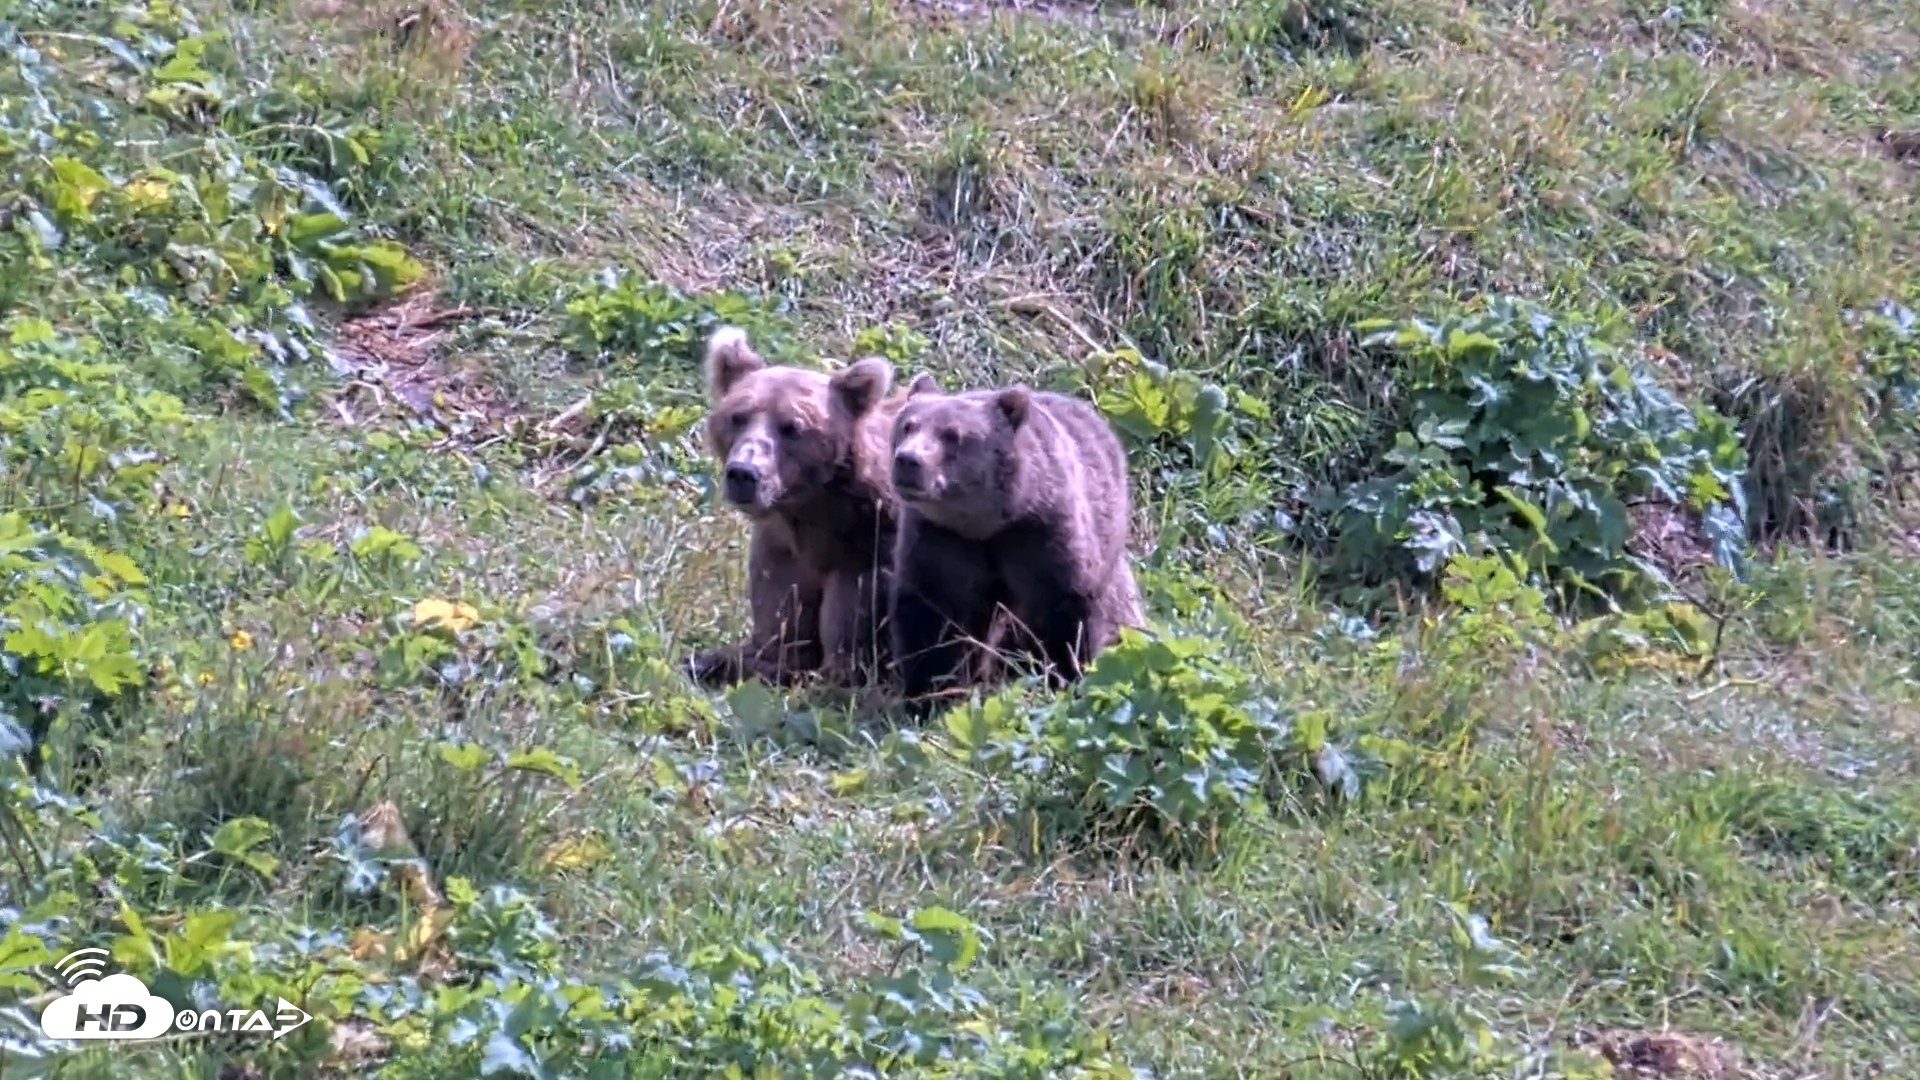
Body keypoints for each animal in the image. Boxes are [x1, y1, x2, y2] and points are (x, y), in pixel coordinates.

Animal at [685, 325, 934, 691]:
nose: (743, 473)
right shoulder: (781, 554)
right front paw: (711, 660)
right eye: (737, 417)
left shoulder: (868, 555)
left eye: (791, 427)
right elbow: (782, 631)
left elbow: (846, 645)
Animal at [885, 379, 1146, 714]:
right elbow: (933, 614)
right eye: (908, 425)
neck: (986, 523)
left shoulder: (1038, 534)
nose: (908, 459)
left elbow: (1061, 608)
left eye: (952, 434)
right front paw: (930, 694)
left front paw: (1065, 674)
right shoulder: (941, 539)